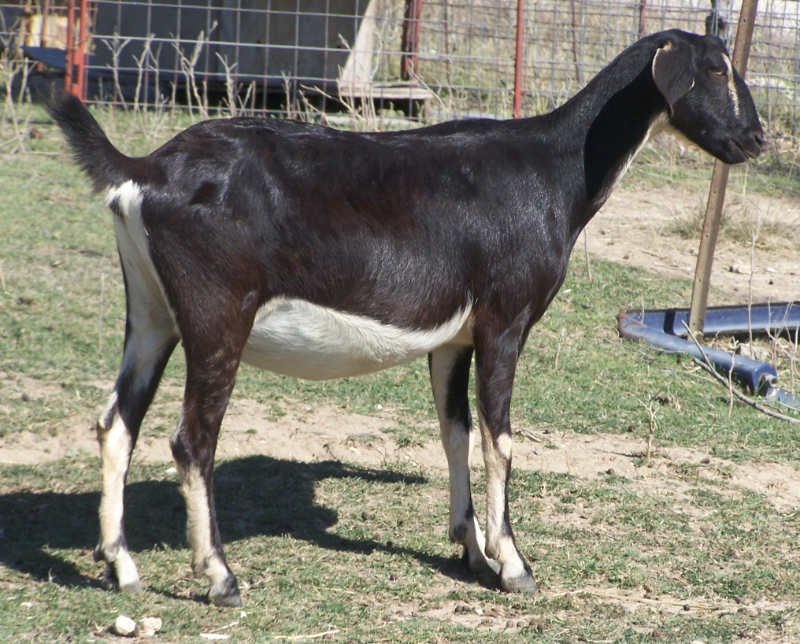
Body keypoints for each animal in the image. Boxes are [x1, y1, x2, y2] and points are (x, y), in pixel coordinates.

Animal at [48, 28, 764, 604]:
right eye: (716, 68)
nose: (755, 139)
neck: (552, 169)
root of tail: (144, 169)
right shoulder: (504, 321)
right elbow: (501, 439)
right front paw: (515, 566)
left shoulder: (453, 338)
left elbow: (456, 433)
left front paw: (472, 552)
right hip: (216, 315)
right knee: (191, 439)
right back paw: (220, 577)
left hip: (151, 313)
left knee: (116, 423)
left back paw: (121, 567)